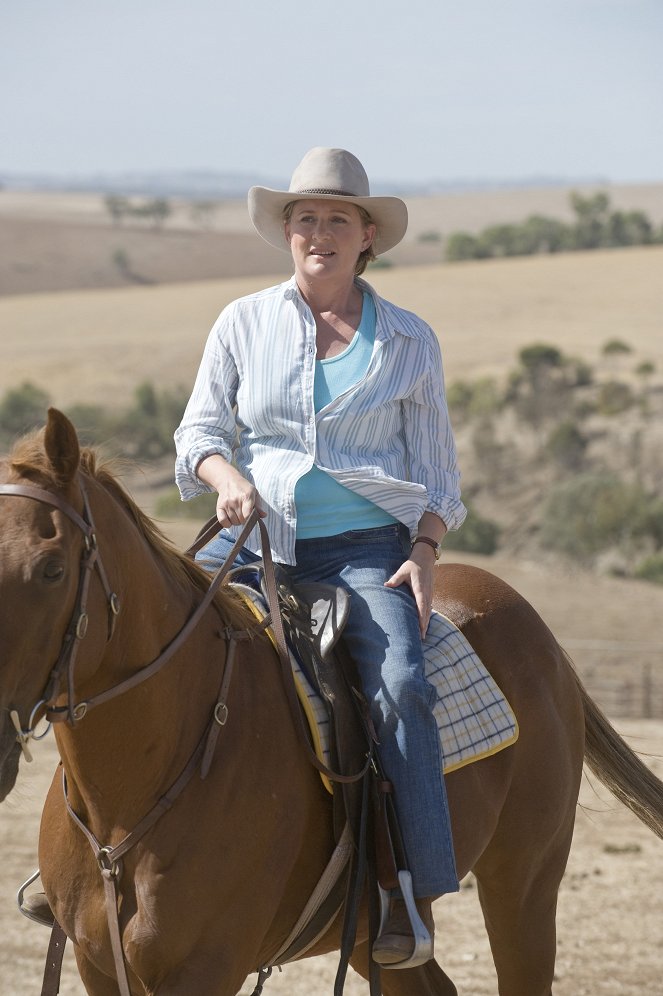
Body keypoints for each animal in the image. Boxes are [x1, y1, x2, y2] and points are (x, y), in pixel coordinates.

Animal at [0, 406, 660, 996]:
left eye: (53, 568)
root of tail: (539, 634)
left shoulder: (205, 968)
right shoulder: (97, 964)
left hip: (523, 884)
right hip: (376, 936)